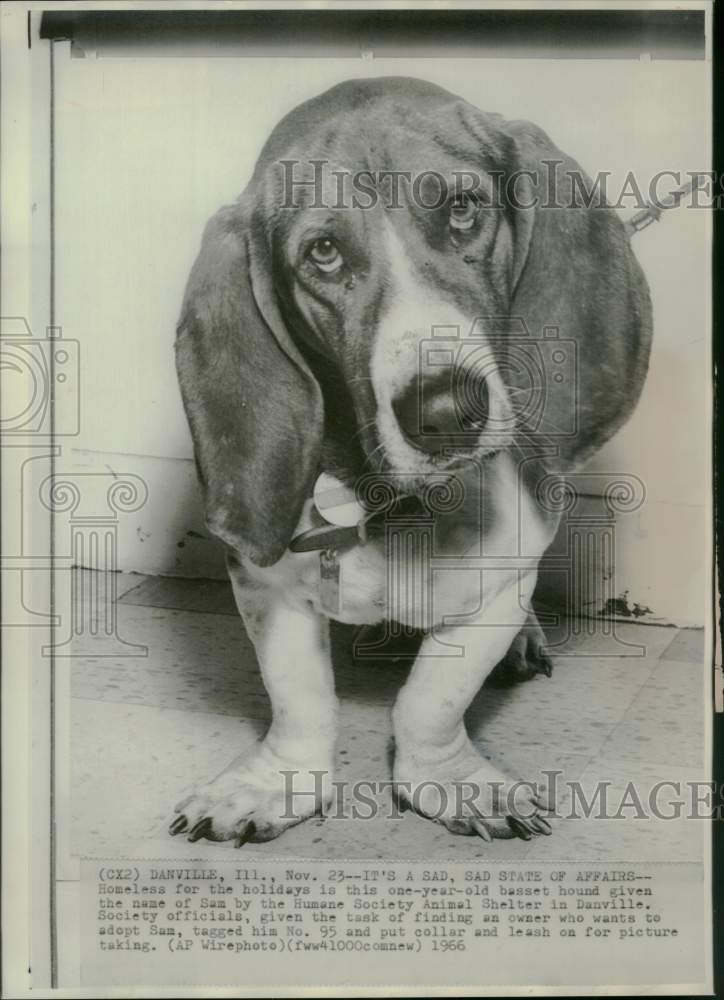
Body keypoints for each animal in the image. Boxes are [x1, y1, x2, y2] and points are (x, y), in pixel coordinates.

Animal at [173, 76, 652, 844]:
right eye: (324, 253)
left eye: (461, 208)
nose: (446, 411)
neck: (392, 504)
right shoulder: (265, 583)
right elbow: (298, 698)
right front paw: (276, 781)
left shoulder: (503, 575)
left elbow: (432, 699)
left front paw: (450, 781)